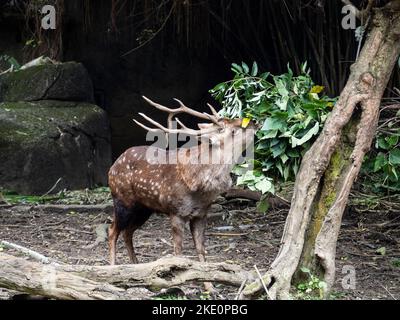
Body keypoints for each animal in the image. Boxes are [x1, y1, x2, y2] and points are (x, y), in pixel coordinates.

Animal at [108, 96, 255, 268]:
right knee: (112, 230)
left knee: (127, 232)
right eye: (233, 129)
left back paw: (135, 264)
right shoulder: (176, 211)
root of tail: (112, 166)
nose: (254, 121)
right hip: (122, 200)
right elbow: (178, 252)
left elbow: (201, 250)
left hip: (144, 208)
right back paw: (113, 266)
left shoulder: (202, 213)